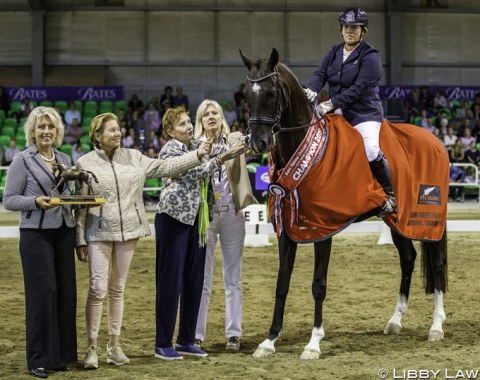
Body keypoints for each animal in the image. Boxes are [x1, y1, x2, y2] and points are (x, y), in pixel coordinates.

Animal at [242, 49, 448, 360]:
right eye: (245, 94)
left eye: (270, 92)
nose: (258, 143)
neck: (306, 149)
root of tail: (435, 141)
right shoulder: (287, 231)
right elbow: (282, 284)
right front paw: (269, 341)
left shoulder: (322, 230)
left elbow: (318, 285)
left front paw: (313, 343)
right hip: (395, 220)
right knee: (408, 258)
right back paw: (395, 321)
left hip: (427, 219)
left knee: (436, 264)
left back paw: (436, 326)